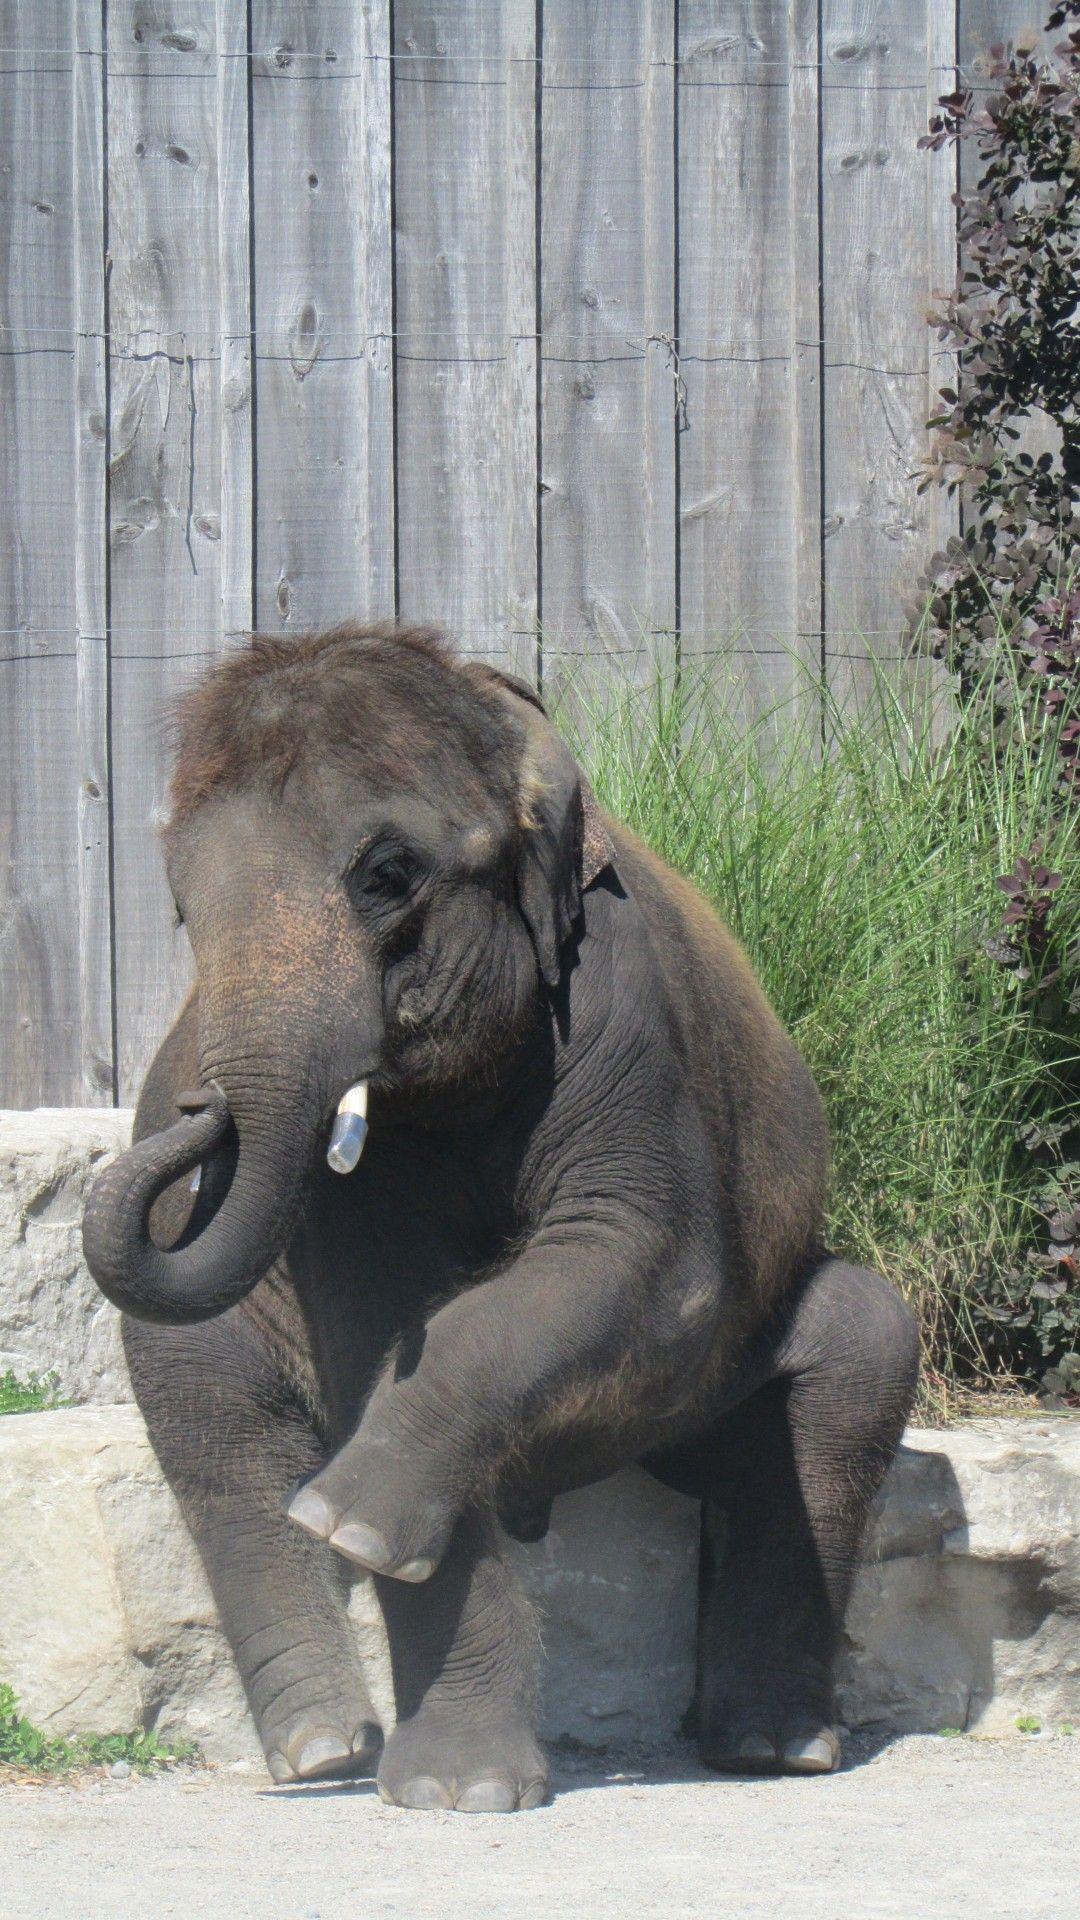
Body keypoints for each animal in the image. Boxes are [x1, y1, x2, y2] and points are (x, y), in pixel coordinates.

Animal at [82, 622, 919, 1812]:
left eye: (387, 876)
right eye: (184, 914)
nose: (194, 1109)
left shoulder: (620, 1004)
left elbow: (642, 1260)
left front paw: (353, 1520)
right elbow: (375, 1328)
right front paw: (460, 1789)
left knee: (855, 1358)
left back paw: (772, 1750)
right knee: (211, 1421)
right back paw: (323, 1750)